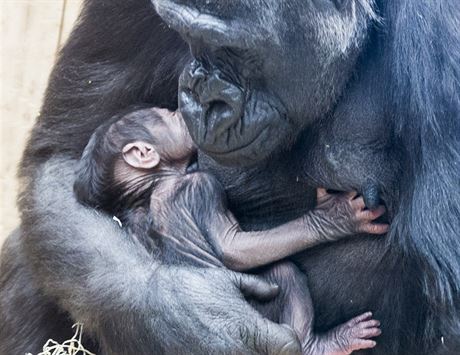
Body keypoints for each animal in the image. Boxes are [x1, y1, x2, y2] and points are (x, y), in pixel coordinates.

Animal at [74, 107, 388, 354]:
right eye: (167, 116)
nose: (177, 111)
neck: (151, 185)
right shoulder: (202, 185)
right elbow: (234, 249)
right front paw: (333, 219)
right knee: (284, 273)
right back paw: (321, 344)